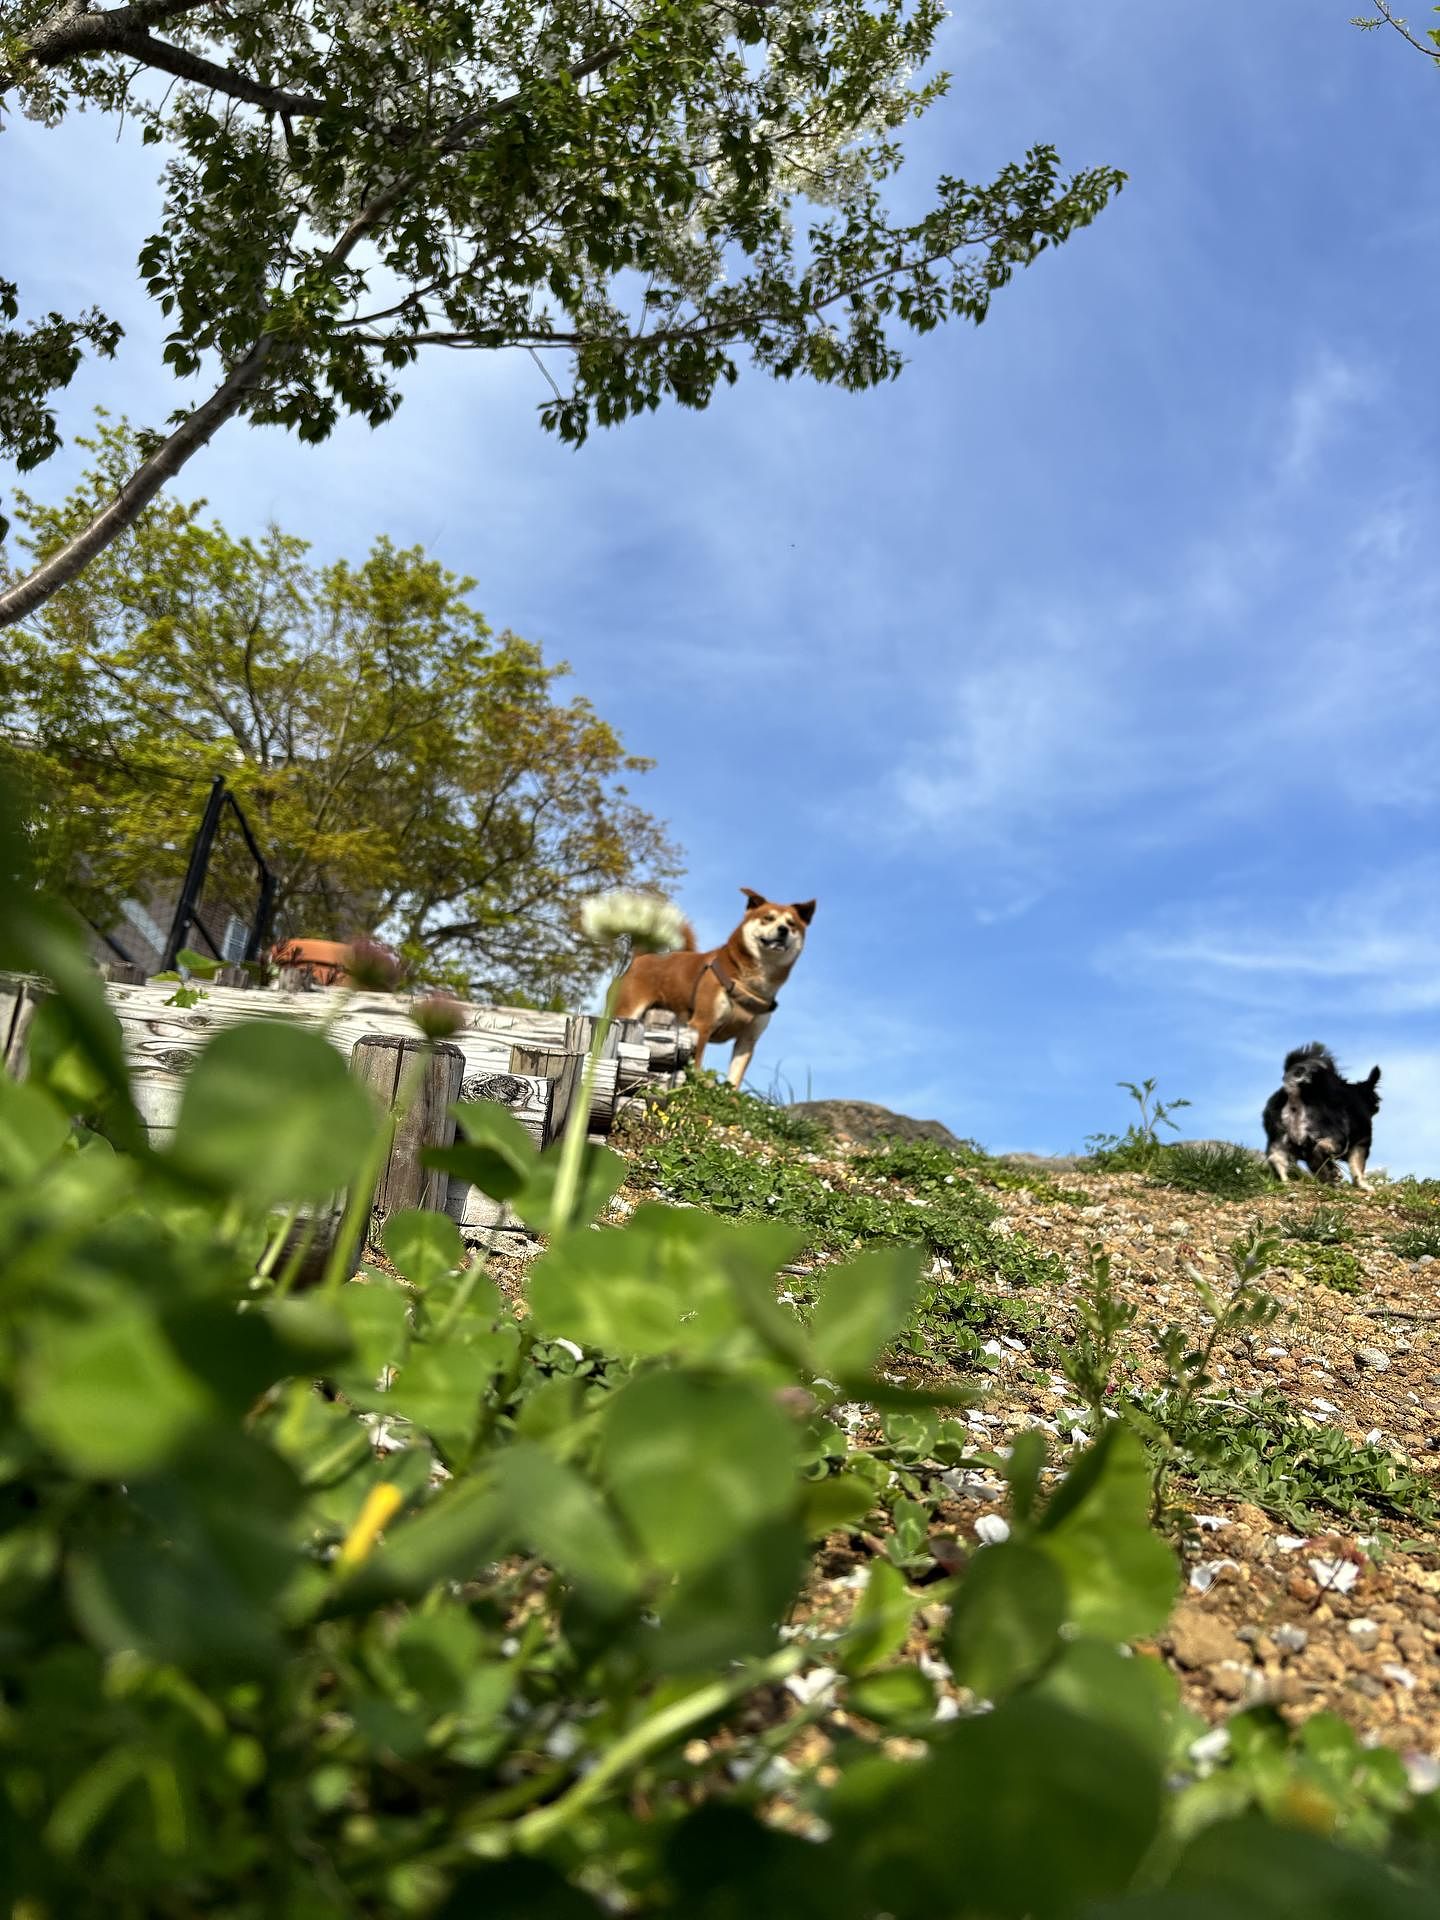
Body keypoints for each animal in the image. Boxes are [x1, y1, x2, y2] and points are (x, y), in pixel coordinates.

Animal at [1259, 1052, 1390, 1182]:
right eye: (1376, 1099)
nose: (1377, 1107)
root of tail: (1298, 1091)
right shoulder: (1361, 1142)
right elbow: (1358, 1169)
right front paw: (1363, 1184)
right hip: (1335, 1137)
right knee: (1319, 1150)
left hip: (1280, 1137)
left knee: (1278, 1158)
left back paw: (1287, 1182)